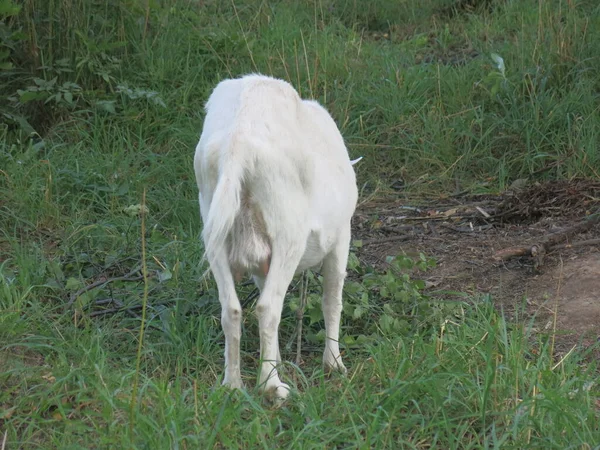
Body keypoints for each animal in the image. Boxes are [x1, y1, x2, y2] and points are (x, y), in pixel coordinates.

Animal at [195, 74, 358, 400]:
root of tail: (238, 145)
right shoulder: (341, 238)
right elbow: (332, 299)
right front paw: (334, 364)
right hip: (287, 232)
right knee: (268, 307)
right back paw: (272, 387)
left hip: (215, 227)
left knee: (231, 308)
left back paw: (233, 385)